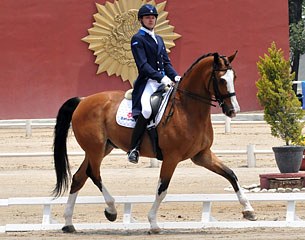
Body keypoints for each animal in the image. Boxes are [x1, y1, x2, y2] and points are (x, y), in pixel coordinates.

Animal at [52, 52, 256, 232]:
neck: (187, 109)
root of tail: (83, 101)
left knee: (79, 178)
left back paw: (68, 224)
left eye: (234, 77)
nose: (234, 111)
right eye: (221, 80)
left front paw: (249, 211)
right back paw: (111, 210)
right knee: (94, 174)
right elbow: (162, 189)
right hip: (95, 149)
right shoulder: (171, 158)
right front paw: (153, 223)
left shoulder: (201, 155)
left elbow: (231, 175)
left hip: (101, 149)